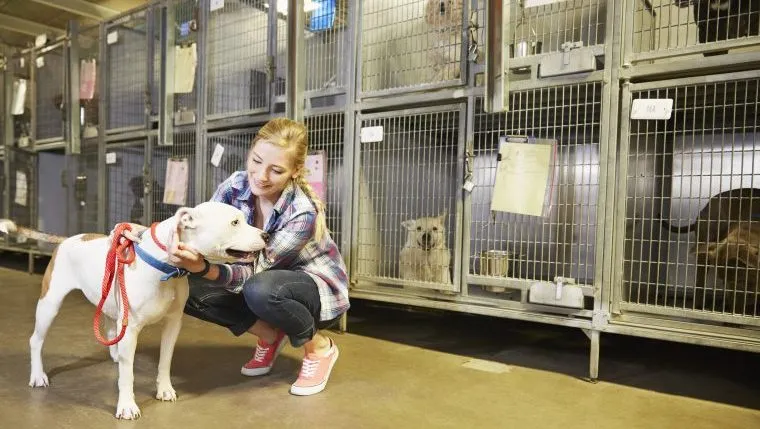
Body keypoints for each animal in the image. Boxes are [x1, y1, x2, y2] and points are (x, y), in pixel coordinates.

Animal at [0, 202, 268, 420]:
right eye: (234, 222)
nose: (266, 234)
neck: (166, 267)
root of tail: (67, 239)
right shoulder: (130, 329)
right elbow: (127, 376)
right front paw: (127, 406)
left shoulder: (173, 323)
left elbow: (165, 360)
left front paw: (164, 389)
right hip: (50, 304)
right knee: (36, 340)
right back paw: (38, 375)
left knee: (110, 330)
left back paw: (116, 355)